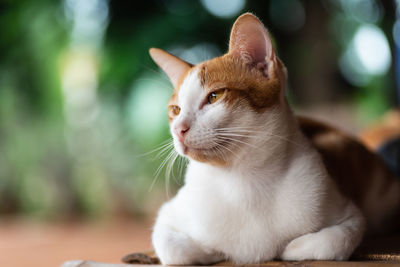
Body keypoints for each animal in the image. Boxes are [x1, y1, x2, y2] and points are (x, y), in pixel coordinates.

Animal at [148, 13, 400, 266]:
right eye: (175, 110)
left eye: (214, 96)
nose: (178, 129)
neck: (242, 181)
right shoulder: (167, 215)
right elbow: (173, 249)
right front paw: (211, 251)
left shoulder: (350, 215)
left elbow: (335, 242)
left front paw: (290, 249)